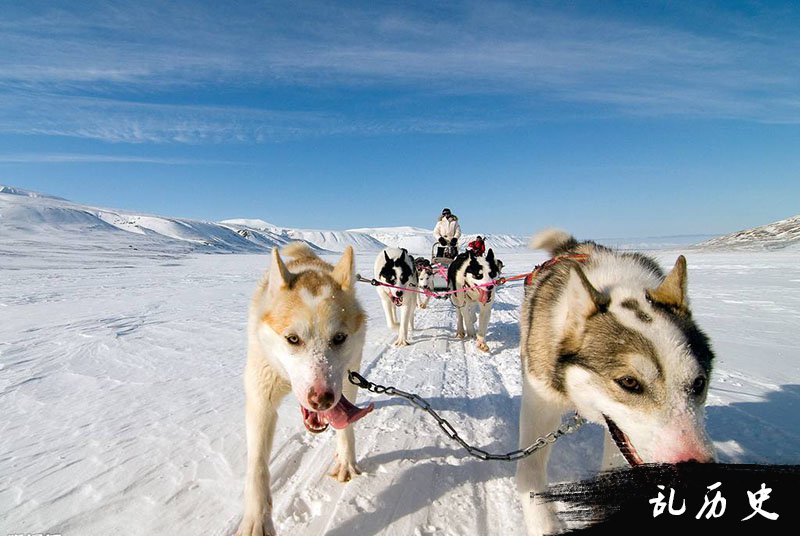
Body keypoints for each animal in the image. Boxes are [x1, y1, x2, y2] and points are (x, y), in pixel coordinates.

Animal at [238, 244, 376, 536]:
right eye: (293, 338)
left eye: (339, 338)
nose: (321, 399)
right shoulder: (261, 397)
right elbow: (257, 465)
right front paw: (256, 519)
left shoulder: (346, 383)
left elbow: (345, 428)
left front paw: (346, 461)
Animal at [520, 230, 720, 536]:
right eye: (629, 382)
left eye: (699, 383)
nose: (698, 475)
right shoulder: (540, 404)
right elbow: (530, 475)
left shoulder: (621, 432)